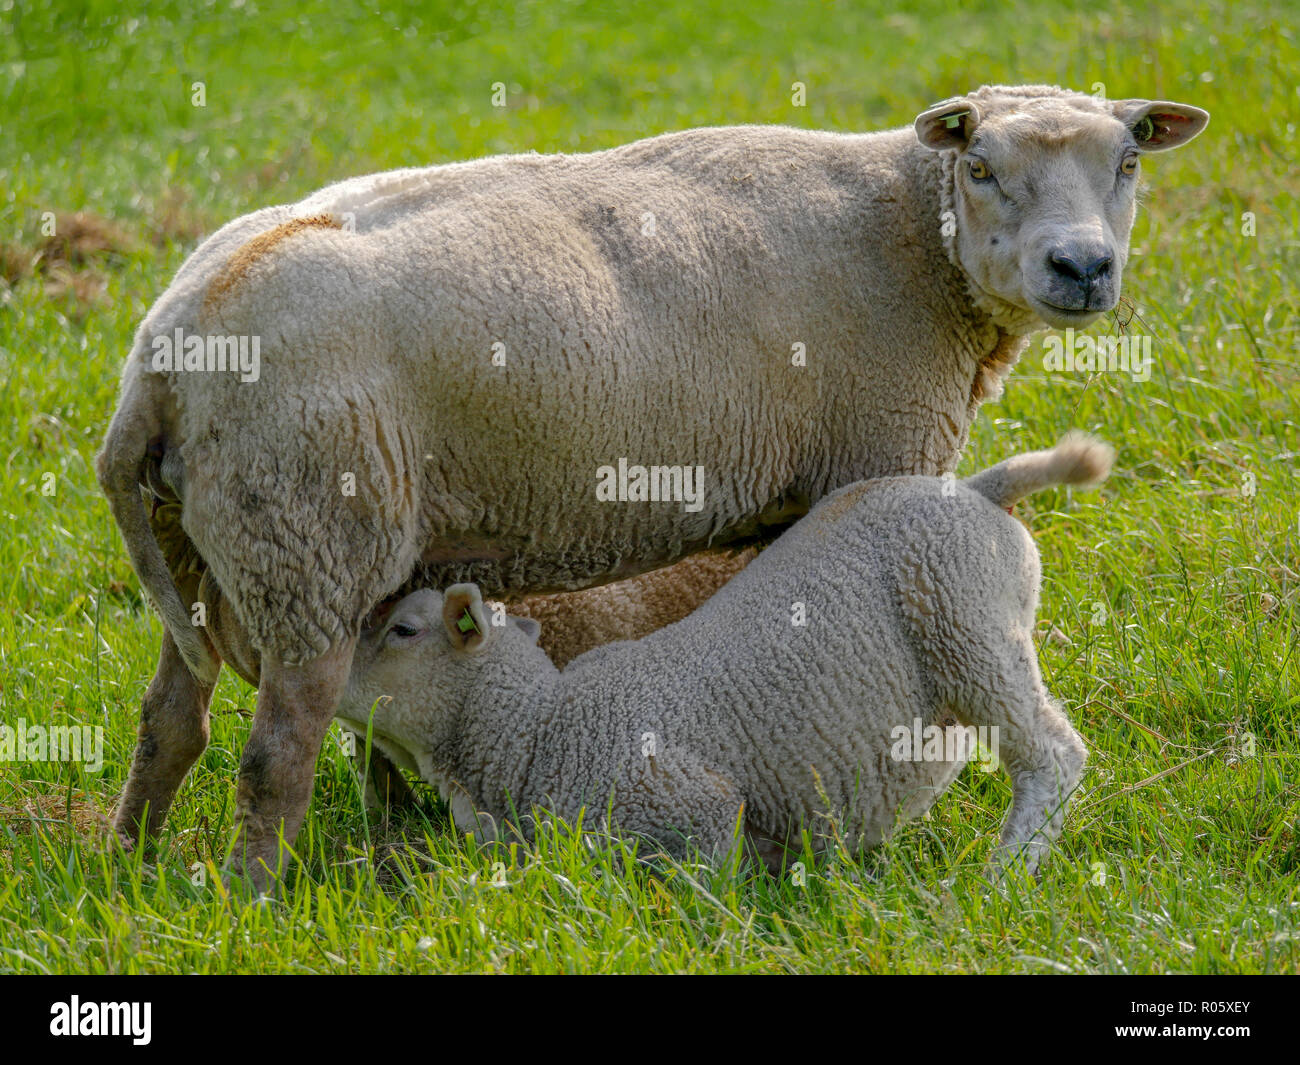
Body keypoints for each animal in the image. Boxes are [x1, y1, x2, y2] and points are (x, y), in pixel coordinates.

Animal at [335, 435, 1114, 875]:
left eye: (402, 629)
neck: (538, 733)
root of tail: (977, 488)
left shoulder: (695, 803)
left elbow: (704, 888)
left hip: (970, 631)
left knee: (1052, 756)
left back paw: (1000, 878)